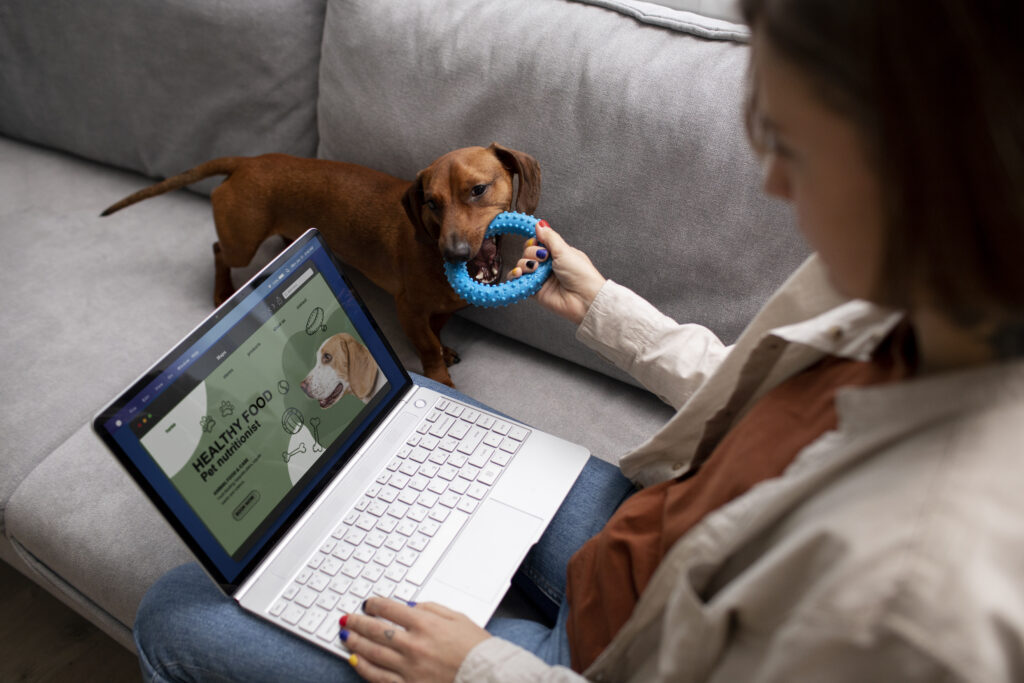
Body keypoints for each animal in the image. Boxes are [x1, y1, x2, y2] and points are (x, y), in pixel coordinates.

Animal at [99, 143, 540, 385]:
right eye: (431, 203)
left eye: (478, 190)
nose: (455, 254)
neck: (431, 248)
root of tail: (248, 161)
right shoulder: (408, 309)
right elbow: (427, 347)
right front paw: (441, 376)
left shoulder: (440, 309)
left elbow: (437, 330)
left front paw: (445, 350)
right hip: (242, 242)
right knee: (219, 251)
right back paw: (223, 290)